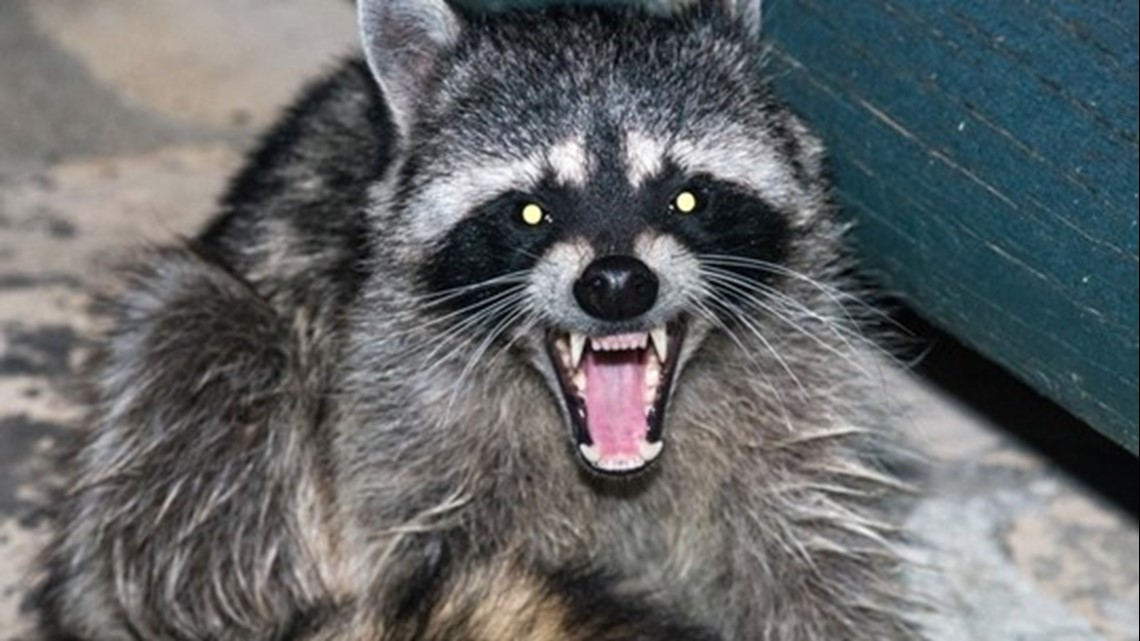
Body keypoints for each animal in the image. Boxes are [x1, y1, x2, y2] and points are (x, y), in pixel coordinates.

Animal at [39, 0, 922, 639]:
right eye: (531, 210)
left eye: (686, 197)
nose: (616, 284)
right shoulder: (404, 446)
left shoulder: (796, 420)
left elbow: (817, 560)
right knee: (197, 345)